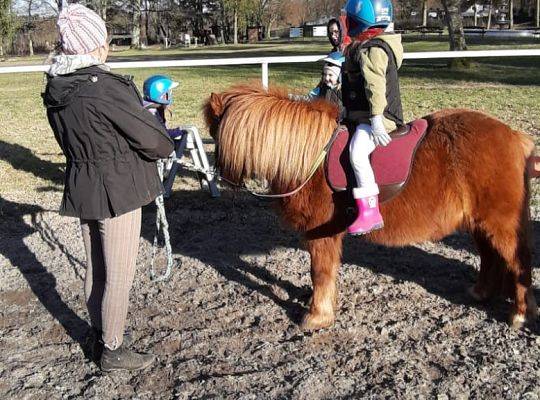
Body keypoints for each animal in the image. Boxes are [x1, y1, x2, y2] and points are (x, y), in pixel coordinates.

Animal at [205, 83, 536, 330]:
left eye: (215, 132)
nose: (221, 176)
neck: (309, 157)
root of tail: (514, 136)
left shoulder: (320, 236)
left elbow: (320, 272)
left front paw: (317, 316)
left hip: (501, 224)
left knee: (518, 262)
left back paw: (520, 314)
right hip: (480, 224)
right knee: (491, 258)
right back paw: (481, 293)